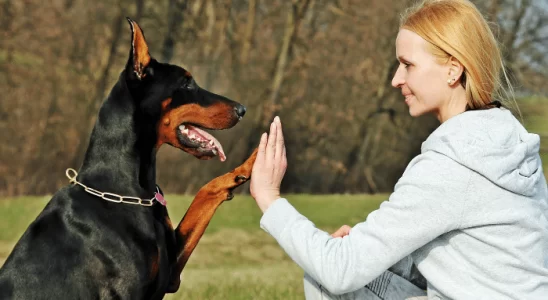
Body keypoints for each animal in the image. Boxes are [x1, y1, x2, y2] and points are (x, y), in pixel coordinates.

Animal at [0, 17, 260, 298]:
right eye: (187, 83)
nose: (242, 109)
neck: (131, 191)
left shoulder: (171, 273)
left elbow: (205, 193)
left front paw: (252, 162)